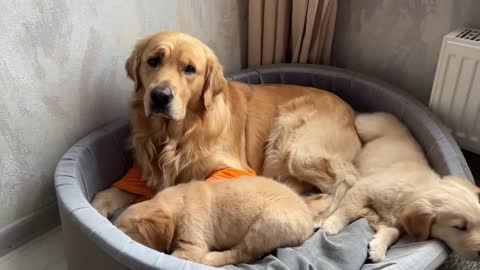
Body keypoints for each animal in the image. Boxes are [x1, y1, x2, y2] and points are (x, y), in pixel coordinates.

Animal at [92, 31, 360, 219]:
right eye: (153, 61)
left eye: (189, 69)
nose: (160, 96)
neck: (177, 134)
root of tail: (352, 113)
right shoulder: (144, 169)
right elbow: (108, 193)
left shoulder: (232, 169)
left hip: (294, 146)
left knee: (346, 181)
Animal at [114, 176, 314, 266]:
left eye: (125, 233)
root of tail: (309, 220)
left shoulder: (193, 245)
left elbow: (173, 257)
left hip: (266, 225)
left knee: (242, 254)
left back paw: (210, 259)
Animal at [318, 112, 480, 262]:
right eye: (460, 227)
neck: (417, 188)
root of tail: (400, 124)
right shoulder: (363, 188)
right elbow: (348, 209)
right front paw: (332, 224)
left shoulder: (399, 222)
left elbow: (392, 233)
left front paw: (379, 248)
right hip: (365, 124)